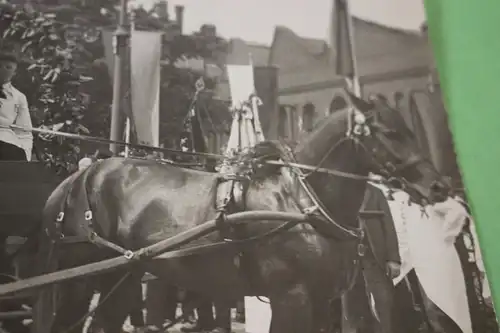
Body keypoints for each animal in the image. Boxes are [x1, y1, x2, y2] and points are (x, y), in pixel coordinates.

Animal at [31, 92, 448, 330]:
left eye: (410, 129)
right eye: (390, 133)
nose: (438, 186)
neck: (302, 202)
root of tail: (80, 176)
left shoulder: (322, 302)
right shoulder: (291, 297)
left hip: (124, 277)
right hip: (80, 278)